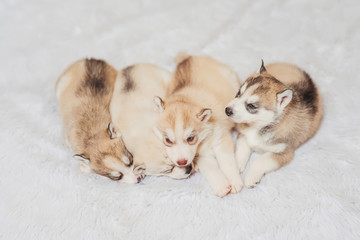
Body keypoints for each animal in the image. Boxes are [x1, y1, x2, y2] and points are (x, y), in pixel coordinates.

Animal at [225, 60, 324, 188]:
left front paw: (251, 178)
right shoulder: (244, 135)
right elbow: (241, 150)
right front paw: (236, 167)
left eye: (251, 106)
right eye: (238, 93)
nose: (227, 110)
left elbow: (259, 160)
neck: (259, 125)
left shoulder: (284, 152)